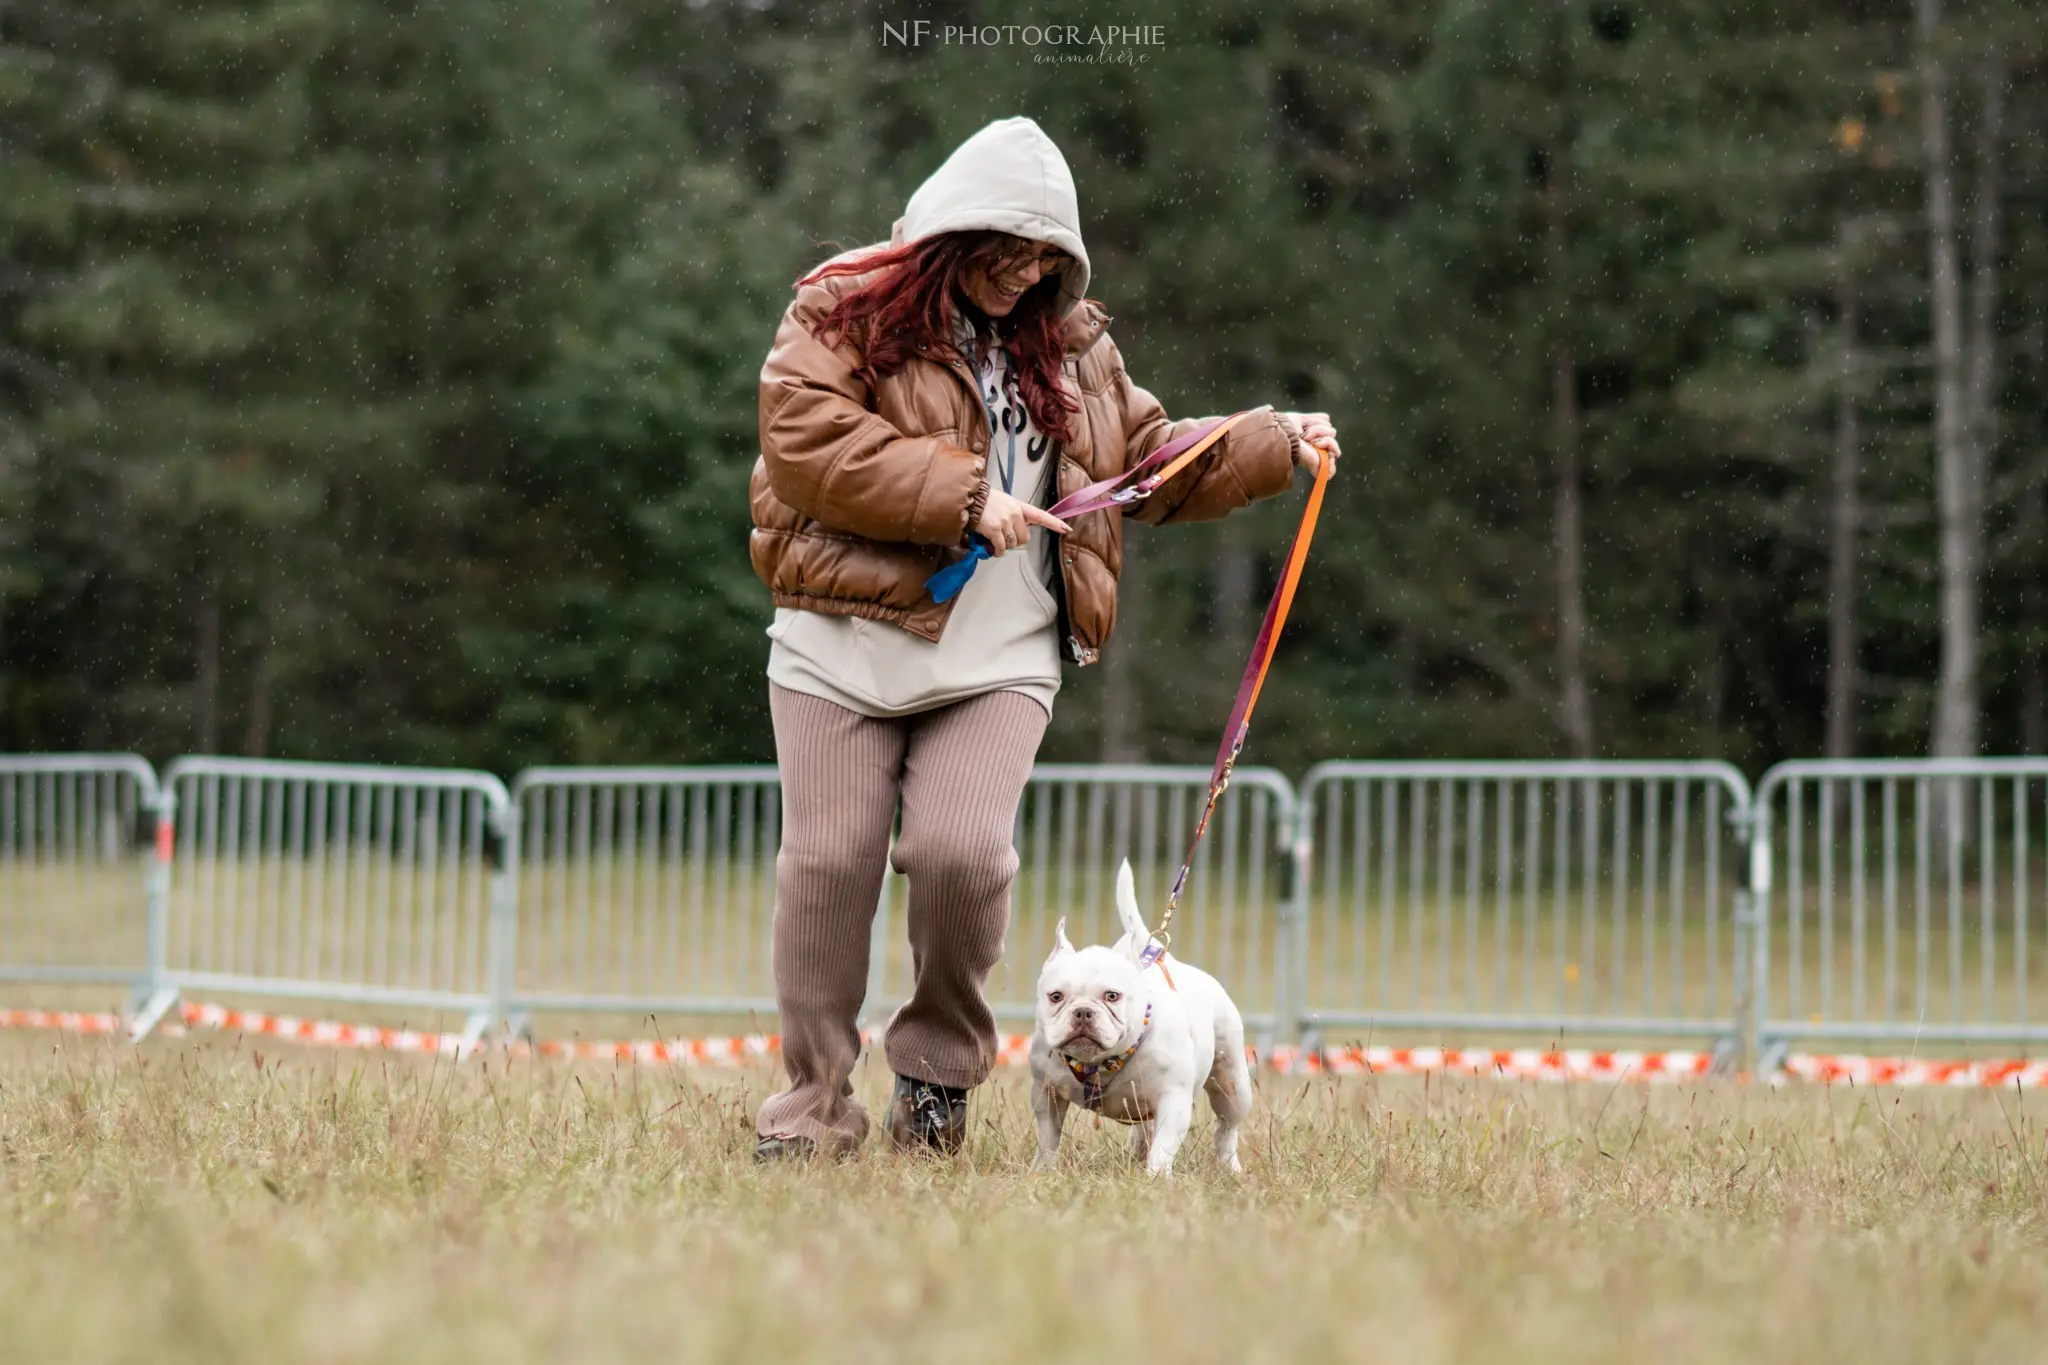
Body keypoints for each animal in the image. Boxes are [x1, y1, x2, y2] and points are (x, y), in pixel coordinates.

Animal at [1032, 863, 1253, 1178]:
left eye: (1112, 996)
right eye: (1056, 996)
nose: (1083, 1012)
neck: (1101, 1064)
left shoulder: (1173, 1100)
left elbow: (1164, 1145)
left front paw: (1157, 1177)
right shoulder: (1046, 1093)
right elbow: (1048, 1136)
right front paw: (1043, 1169)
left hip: (1232, 1083)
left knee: (1226, 1126)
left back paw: (1229, 1165)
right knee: (1144, 1131)